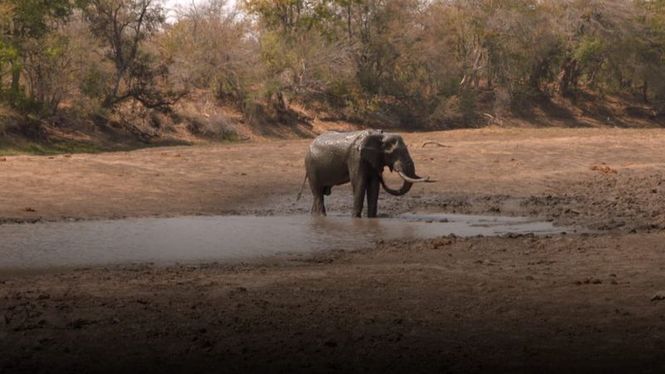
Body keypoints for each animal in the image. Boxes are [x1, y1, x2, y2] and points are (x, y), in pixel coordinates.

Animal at [300, 129, 430, 218]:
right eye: (394, 153)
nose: (429, 177)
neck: (380, 136)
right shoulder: (356, 157)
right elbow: (359, 183)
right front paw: (355, 218)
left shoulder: (373, 159)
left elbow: (374, 186)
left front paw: (372, 218)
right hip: (311, 167)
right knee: (318, 193)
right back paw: (322, 217)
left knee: (318, 194)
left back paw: (314, 216)